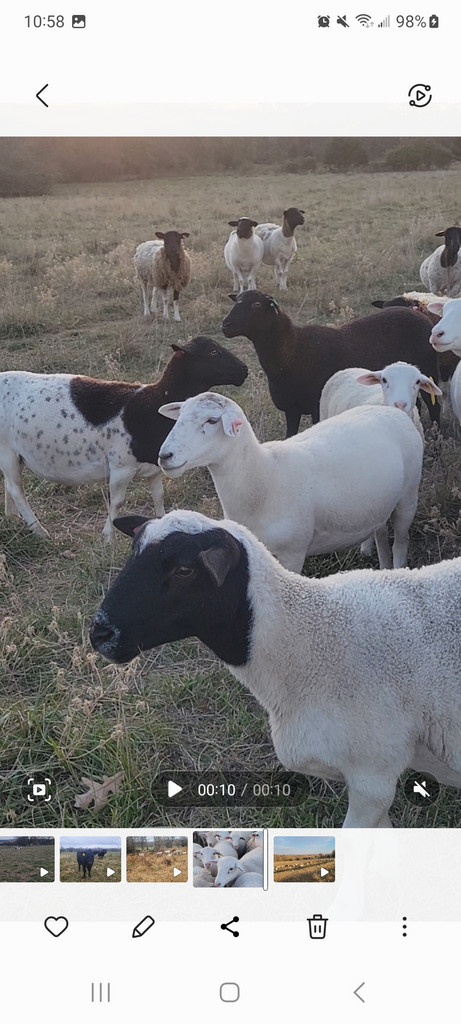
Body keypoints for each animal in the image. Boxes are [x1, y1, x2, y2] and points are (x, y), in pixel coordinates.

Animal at [0, 337, 247, 540]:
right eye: (213, 353)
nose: (244, 370)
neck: (153, 403)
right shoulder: (120, 468)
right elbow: (117, 502)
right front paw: (108, 537)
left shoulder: (155, 467)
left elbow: (159, 496)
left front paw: (163, 521)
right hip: (7, 451)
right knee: (16, 489)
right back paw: (38, 530)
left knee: (9, 486)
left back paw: (12, 518)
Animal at [158, 392, 423, 571]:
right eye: (179, 416)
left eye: (212, 421)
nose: (164, 455)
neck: (265, 477)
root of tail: (393, 411)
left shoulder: (293, 553)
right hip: (379, 503)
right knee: (381, 533)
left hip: (408, 495)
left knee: (400, 541)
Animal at [221, 291, 441, 435]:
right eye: (236, 301)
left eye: (256, 305)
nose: (225, 325)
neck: (292, 351)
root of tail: (418, 313)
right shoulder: (291, 410)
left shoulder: (317, 407)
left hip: (429, 370)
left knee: (434, 407)